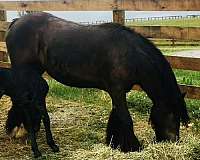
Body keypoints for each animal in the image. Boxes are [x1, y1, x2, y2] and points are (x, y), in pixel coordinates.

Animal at [4, 12, 189, 158]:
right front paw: (134, 147)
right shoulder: (117, 91)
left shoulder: (118, 92)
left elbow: (116, 117)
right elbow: (126, 119)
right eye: (173, 116)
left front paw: (114, 143)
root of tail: (16, 23)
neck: (130, 54)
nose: (173, 142)